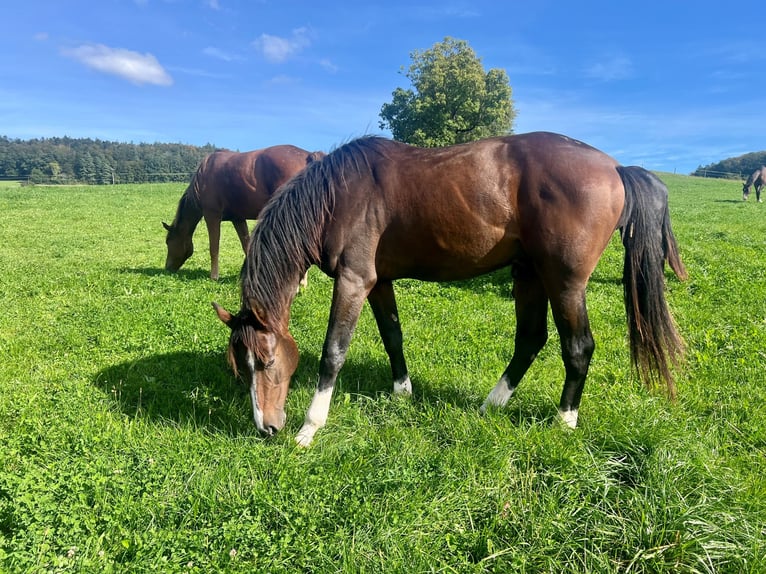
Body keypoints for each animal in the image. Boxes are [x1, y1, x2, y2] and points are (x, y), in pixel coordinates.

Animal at [164, 146, 326, 282]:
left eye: (168, 241)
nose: (167, 268)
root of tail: (307, 156)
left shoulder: (212, 216)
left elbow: (214, 247)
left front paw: (214, 276)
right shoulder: (238, 219)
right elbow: (246, 246)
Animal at [212, 133, 688, 448]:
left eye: (267, 361)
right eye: (240, 365)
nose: (266, 427)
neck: (337, 197)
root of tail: (615, 168)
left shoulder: (353, 281)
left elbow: (333, 352)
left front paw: (310, 428)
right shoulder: (378, 282)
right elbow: (393, 335)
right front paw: (402, 391)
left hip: (564, 281)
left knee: (578, 346)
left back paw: (564, 420)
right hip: (529, 274)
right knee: (530, 339)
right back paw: (491, 405)